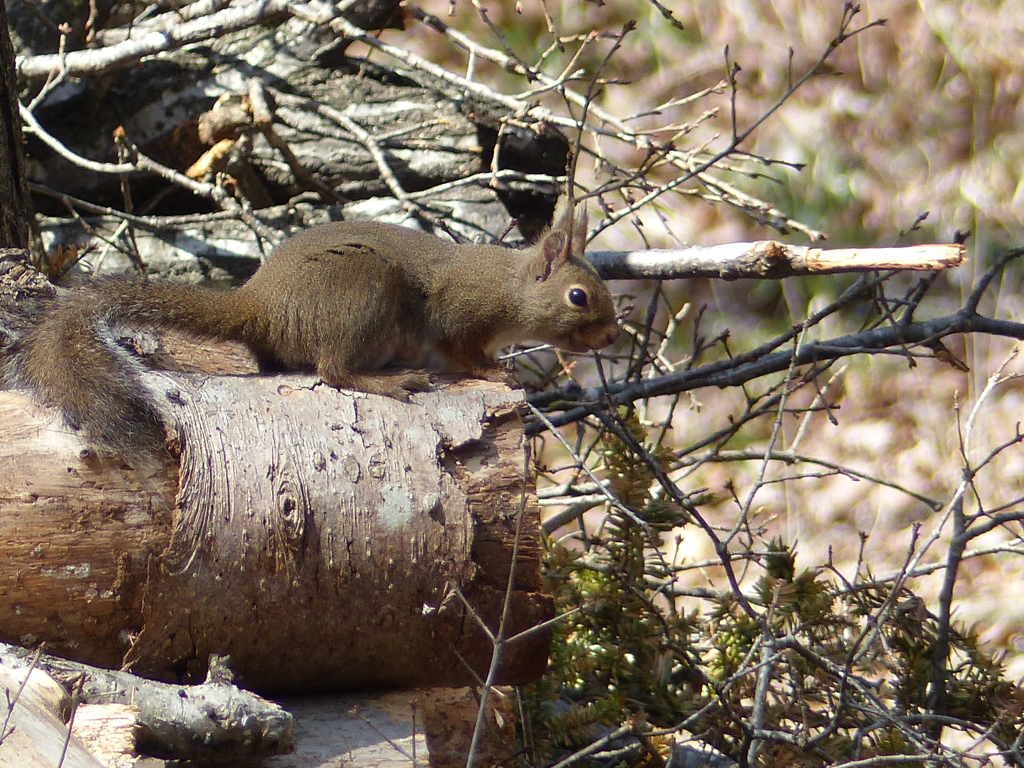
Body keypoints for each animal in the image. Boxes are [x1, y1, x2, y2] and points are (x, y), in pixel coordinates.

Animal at [12, 204, 618, 460]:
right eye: (579, 297)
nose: (612, 337)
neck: (510, 288)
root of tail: (261, 305)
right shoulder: (457, 317)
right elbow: (462, 351)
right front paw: (498, 372)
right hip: (363, 290)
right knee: (333, 370)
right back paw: (391, 382)